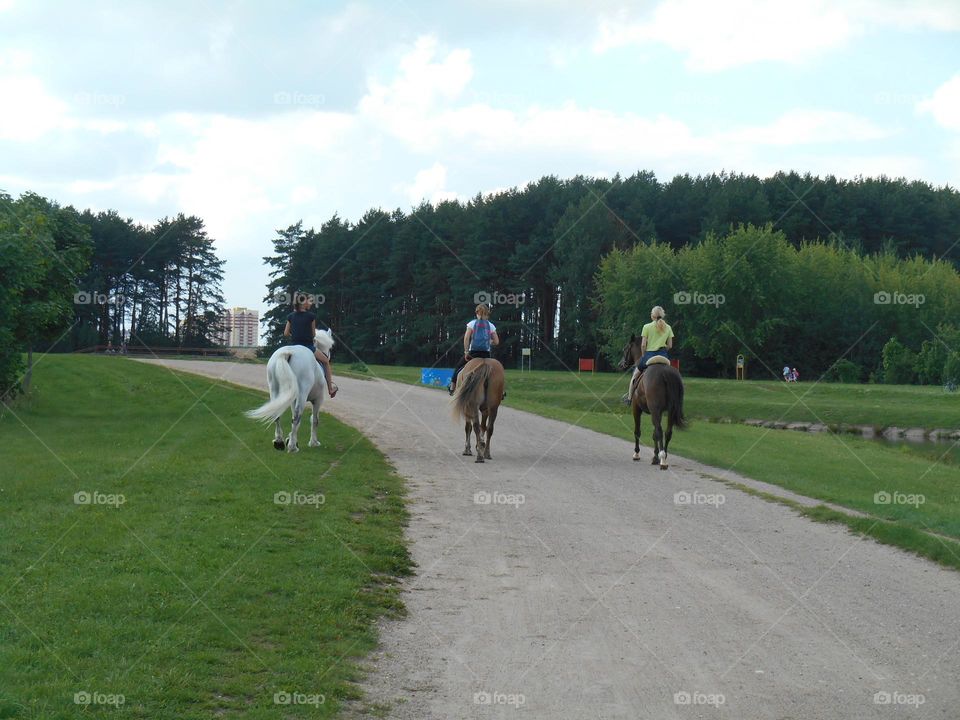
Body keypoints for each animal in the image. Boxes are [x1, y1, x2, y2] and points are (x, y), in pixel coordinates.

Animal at [620, 334, 688, 470]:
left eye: (625, 349)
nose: (621, 364)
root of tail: (665, 373)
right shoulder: (658, 412)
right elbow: (654, 434)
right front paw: (655, 455)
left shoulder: (637, 409)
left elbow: (638, 431)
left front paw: (636, 454)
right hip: (670, 411)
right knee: (667, 432)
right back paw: (663, 456)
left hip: (654, 410)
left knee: (659, 431)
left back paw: (662, 461)